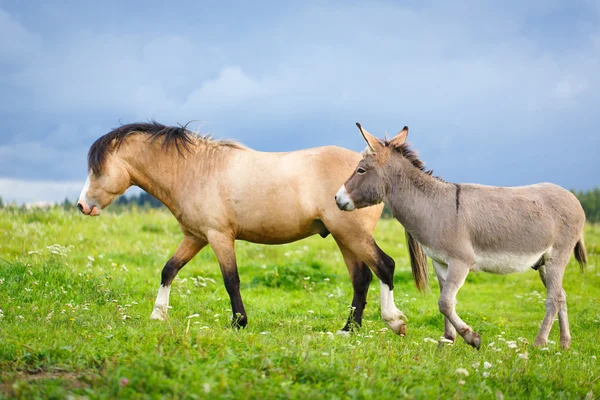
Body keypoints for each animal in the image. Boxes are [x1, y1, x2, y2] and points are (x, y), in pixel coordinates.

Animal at [76, 122, 408, 334]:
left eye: (98, 170)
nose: (82, 206)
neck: (196, 170)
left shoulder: (219, 236)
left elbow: (231, 280)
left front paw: (239, 322)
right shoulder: (195, 237)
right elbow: (169, 269)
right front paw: (158, 314)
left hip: (351, 234)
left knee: (384, 266)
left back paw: (393, 321)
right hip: (343, 237)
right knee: (361, 278)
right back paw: (349, 329)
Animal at [336, 122, 588, 350]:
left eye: (360, 170)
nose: (336, 199)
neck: (433, 206)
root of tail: (573, 198)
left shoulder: (461, 261)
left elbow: (445, 302)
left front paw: (471, 337)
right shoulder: (440, 262)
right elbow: (447, 299)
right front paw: (447, 339)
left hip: (557, 256)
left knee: (553, 299)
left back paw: (539, 343)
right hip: (543, 262)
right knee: (561, 295)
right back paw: (564, 344)